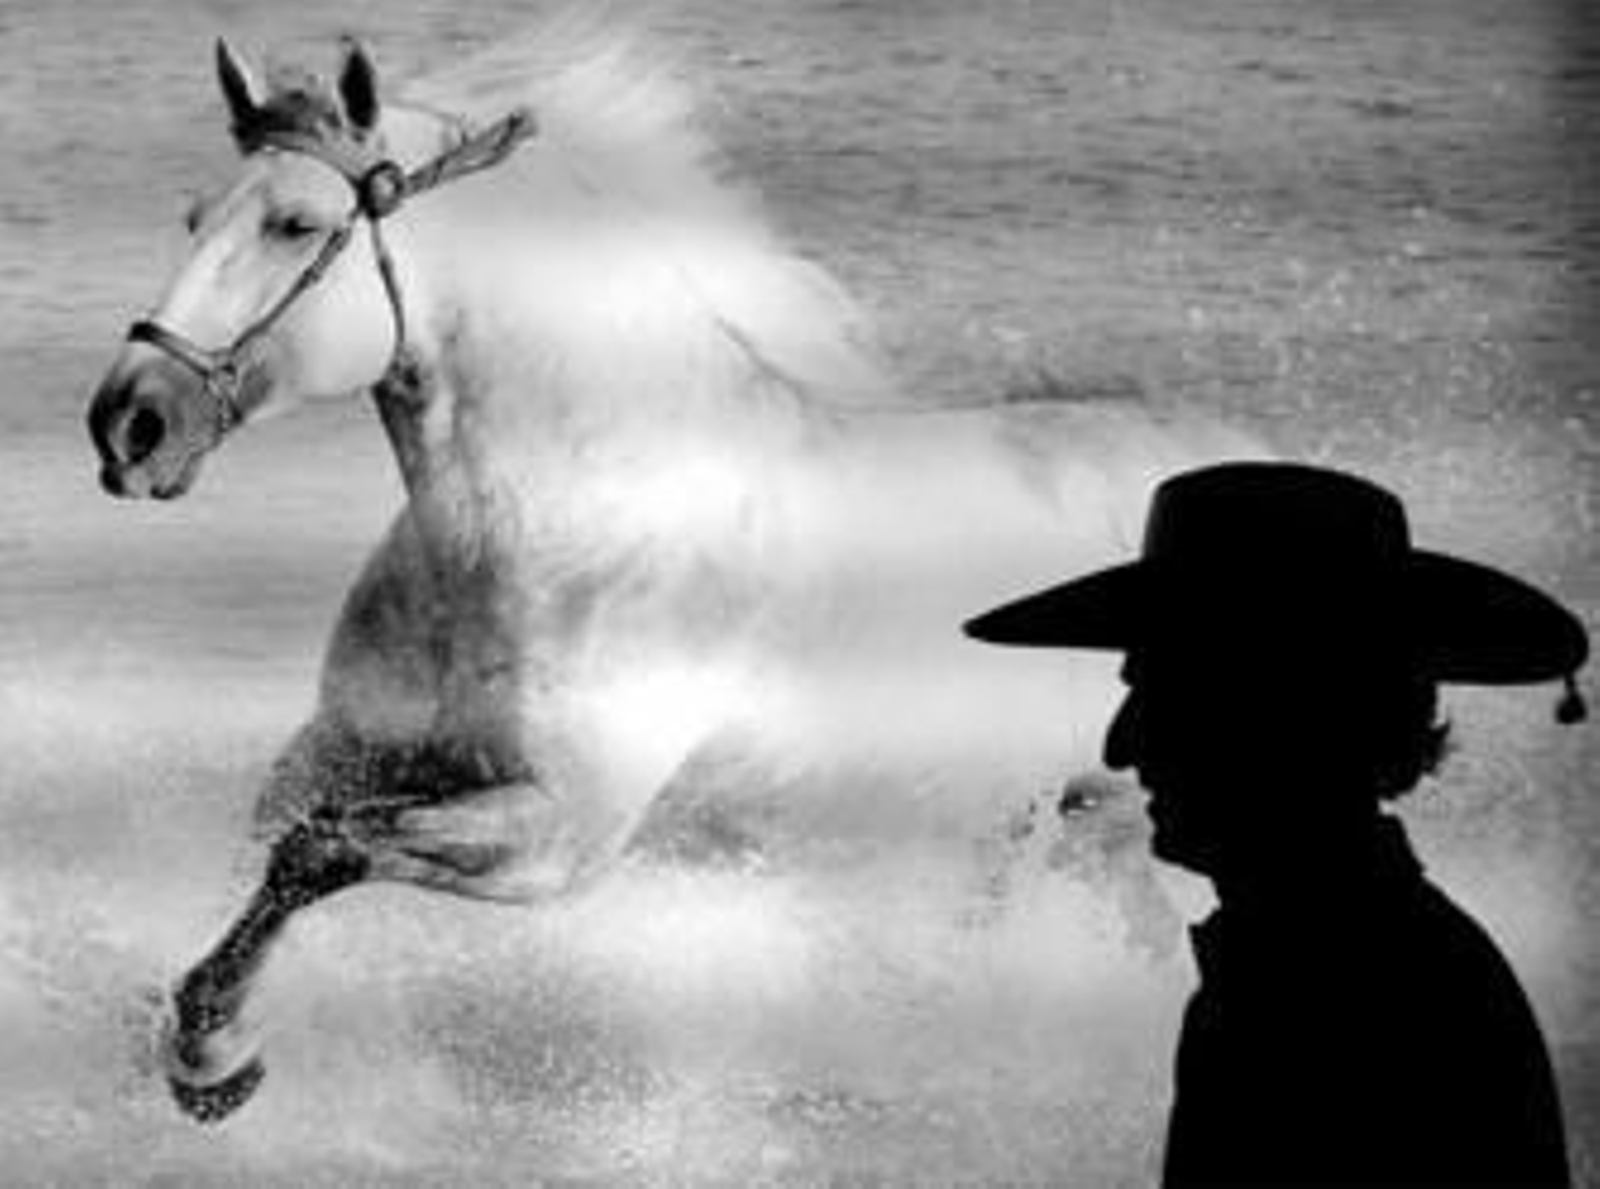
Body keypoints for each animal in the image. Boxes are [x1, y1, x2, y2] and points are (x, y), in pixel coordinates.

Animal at [86, 26, 1262, 1122]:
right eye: (195, 218)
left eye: (293, 225)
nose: (128, 424)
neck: (569, 519)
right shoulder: (344, 747)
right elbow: (272, 844)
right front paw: (193, 1045)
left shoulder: (562, 833)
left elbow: (316, 853)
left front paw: (214, 1053)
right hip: (1065, 823)